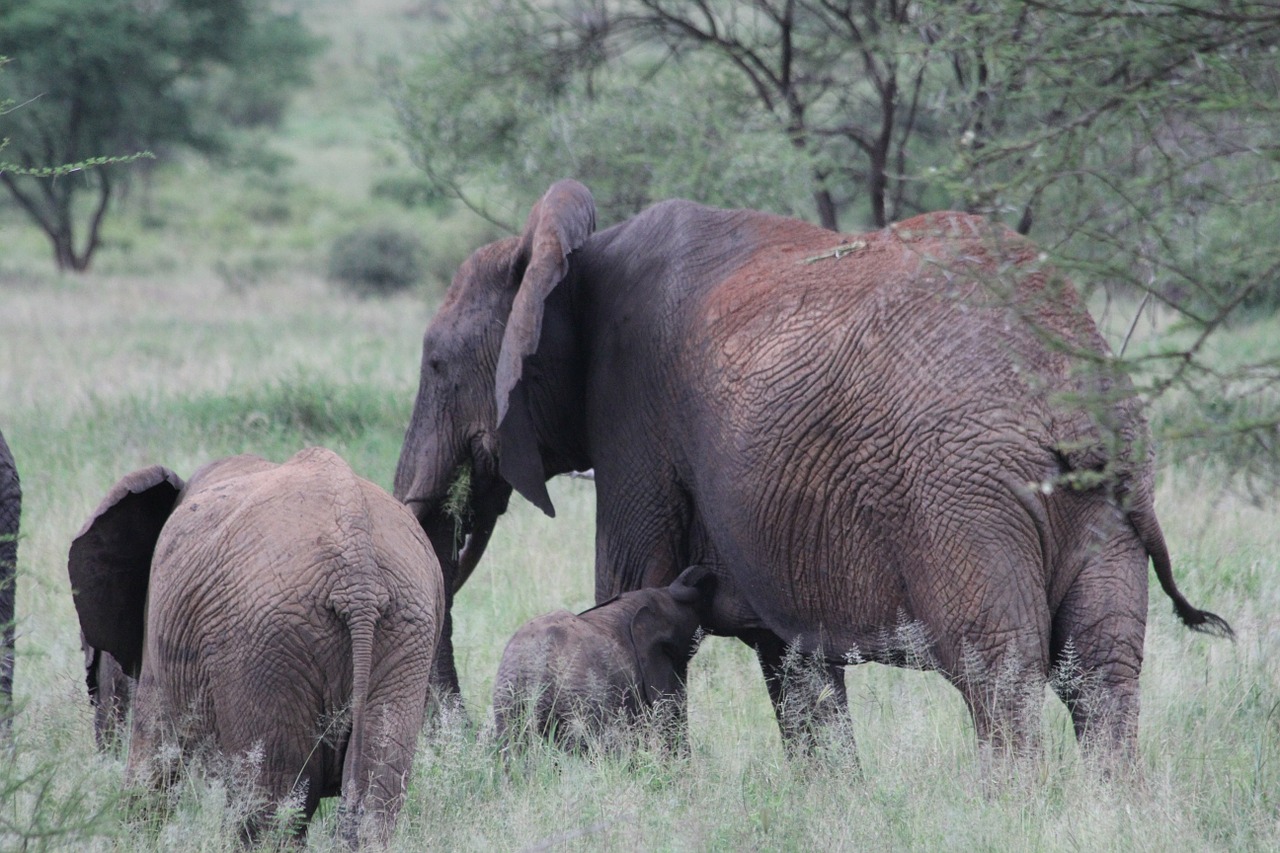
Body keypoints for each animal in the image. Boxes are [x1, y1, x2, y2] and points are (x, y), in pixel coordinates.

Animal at [67, 445, 445, 845]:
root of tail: (357, 570)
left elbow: (153, 761)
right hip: (405, 631)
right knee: (375, 793)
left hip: (264, 643)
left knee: (269, 803)